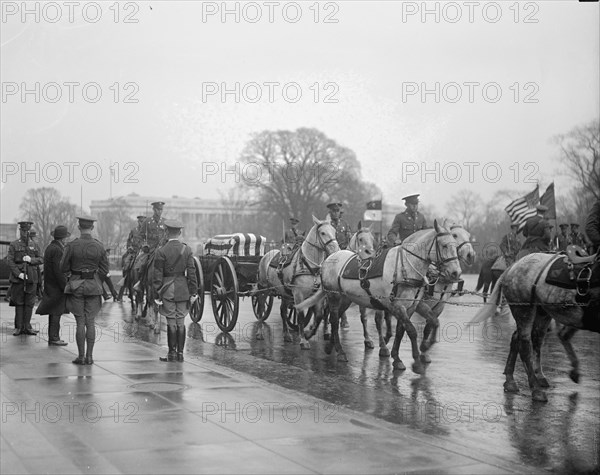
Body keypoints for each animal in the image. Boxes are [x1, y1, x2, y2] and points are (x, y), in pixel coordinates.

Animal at [298, 221, 462, 374]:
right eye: (444, 245)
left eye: (455, 246)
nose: (456, 273)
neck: (404, 267)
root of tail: (330, 258)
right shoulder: (397, 306)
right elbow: (411, 331)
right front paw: (416, 361)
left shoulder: (411, 307)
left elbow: (413, 328)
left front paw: (405, 354)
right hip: (333, 296)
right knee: (332, 319)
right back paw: (339, 350)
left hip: (346, 299)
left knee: (336, 318)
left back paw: (331, 346)